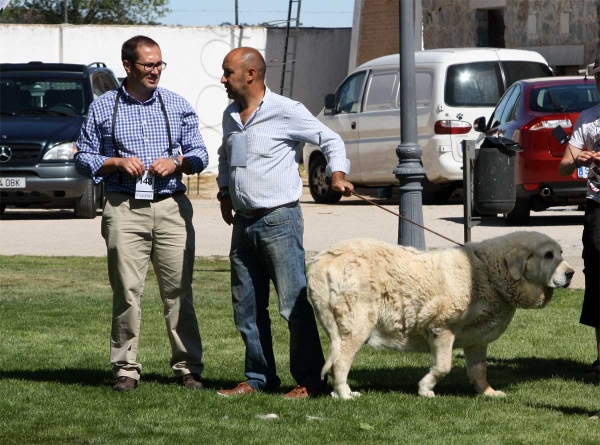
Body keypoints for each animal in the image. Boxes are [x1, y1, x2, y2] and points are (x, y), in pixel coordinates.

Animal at [308, 231, 576, 398]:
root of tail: (323, 260)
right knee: (340, 362)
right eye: (548, 256)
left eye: (561, 253)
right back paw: (344, 395)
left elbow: (479, 370)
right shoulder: (442, 329)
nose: (572, 273)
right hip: (358, 325)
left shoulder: (477, 339)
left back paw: (341, 392)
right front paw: (425, 389)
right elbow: (444, 366)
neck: (487, 273)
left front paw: (487, 393)